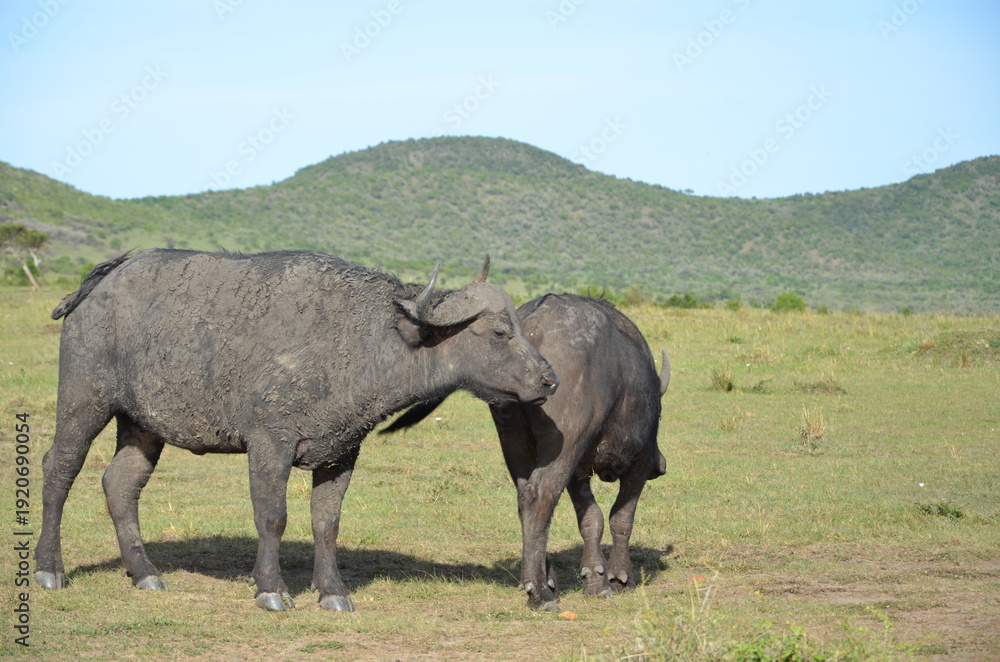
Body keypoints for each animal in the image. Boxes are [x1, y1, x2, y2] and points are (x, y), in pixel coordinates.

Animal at [36, 249, 558, 612]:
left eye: (520, 324)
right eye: (499, 332)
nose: (549, 380)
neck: (362, 340)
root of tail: (104, 281)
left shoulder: (341, 452)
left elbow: (326, 523)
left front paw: (332, 592)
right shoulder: (270, 445)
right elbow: (273, 517)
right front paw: (270, 589)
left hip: (142, 425)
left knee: (119, 485)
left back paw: (144, 572)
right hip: (84, 402)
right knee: (58, 471)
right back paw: (48, 568)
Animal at [384, 293, 669, 610]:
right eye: (662, 413)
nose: (661, 466)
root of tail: (535, 325)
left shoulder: (578, 471)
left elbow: (591, 519)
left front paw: (596, 578)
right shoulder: (638, 461)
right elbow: (621, 518)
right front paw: (620, 577)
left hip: (514, 438)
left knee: (525, 498)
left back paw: (545, 580)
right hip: (565, 442)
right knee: (540, 496)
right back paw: (540, 591)